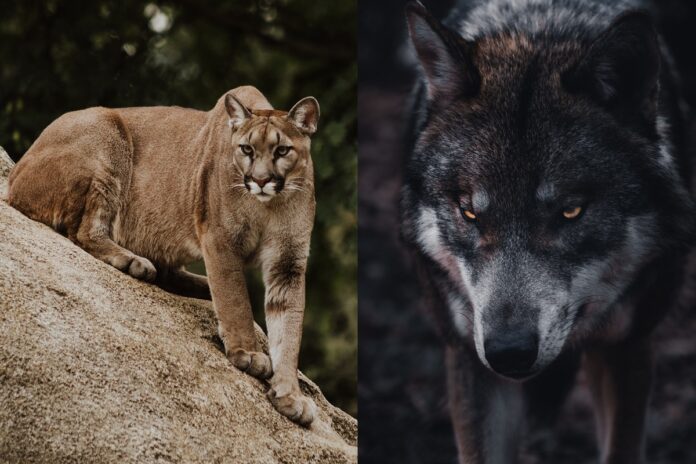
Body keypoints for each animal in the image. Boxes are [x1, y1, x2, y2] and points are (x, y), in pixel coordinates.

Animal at [400, 0, 695, 462]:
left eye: (571, 211)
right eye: (469, 213)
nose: (509, 353)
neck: (538, 27)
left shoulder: (627, 344)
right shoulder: (468, 355)